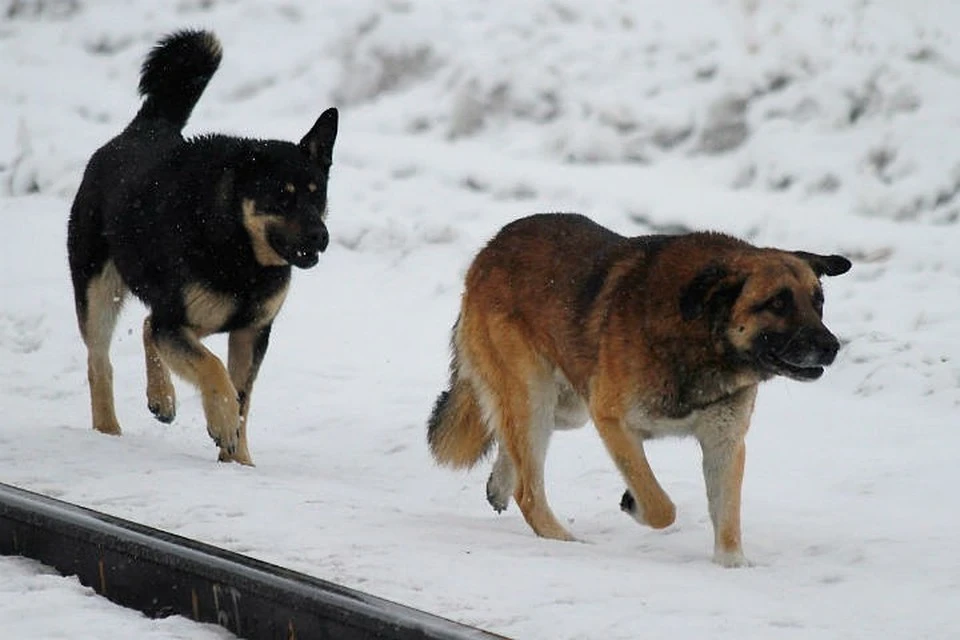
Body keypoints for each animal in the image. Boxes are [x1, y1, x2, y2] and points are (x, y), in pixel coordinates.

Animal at [67, 30, 338, 462]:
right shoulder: (179, 321)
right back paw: (108, 430)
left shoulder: (251, 331)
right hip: (99, 289)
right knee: (100, 361)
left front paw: (238, 460)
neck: (240, 251)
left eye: (317, 195)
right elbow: (213, 369)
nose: (321, 237)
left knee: (148, 326)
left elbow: (243, 396)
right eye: (281, 197)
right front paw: (222, 422)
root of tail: (144, 128)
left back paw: (162, 398)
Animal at [428, 214, 848, 564]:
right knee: (529, 491)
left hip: (565, 407)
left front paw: (732, 566)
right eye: (777, 303)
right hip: (536, 396)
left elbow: (727, 518)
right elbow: (660, 506)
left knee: (507, 435)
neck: (701, 334)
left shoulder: (725, 443)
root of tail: (491, 248)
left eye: (818, 302)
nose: (832, 347)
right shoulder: (612, 420)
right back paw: (564, 540)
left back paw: (501, 482)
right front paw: (635, 504)